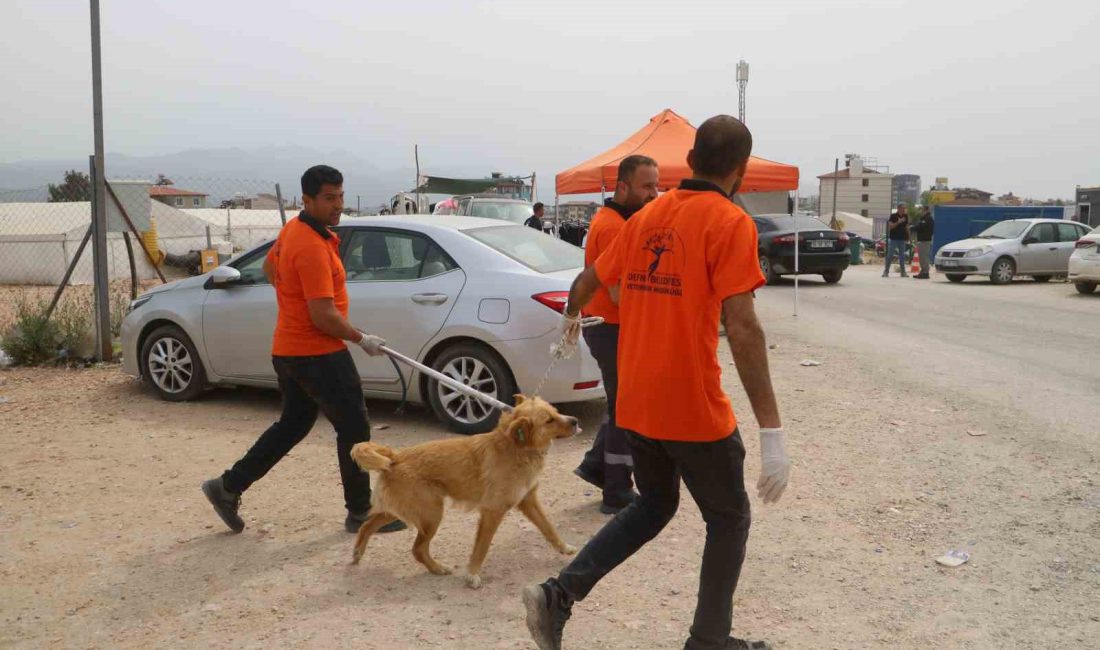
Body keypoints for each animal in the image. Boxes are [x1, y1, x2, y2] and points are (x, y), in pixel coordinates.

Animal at [349, 393, 576, 589]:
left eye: (556, 411)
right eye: (549, 420)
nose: (575, 421)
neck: (517, 447)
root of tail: (395, 457)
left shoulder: (528, 501)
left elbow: (549, 528)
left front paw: (564, 547)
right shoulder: (492, 511)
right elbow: (482, 547)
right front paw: (472, 574)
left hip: (400, 511)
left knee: (367, 526)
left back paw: (358, 553)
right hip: (431, 514)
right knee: (417, 549)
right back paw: (438, 568)